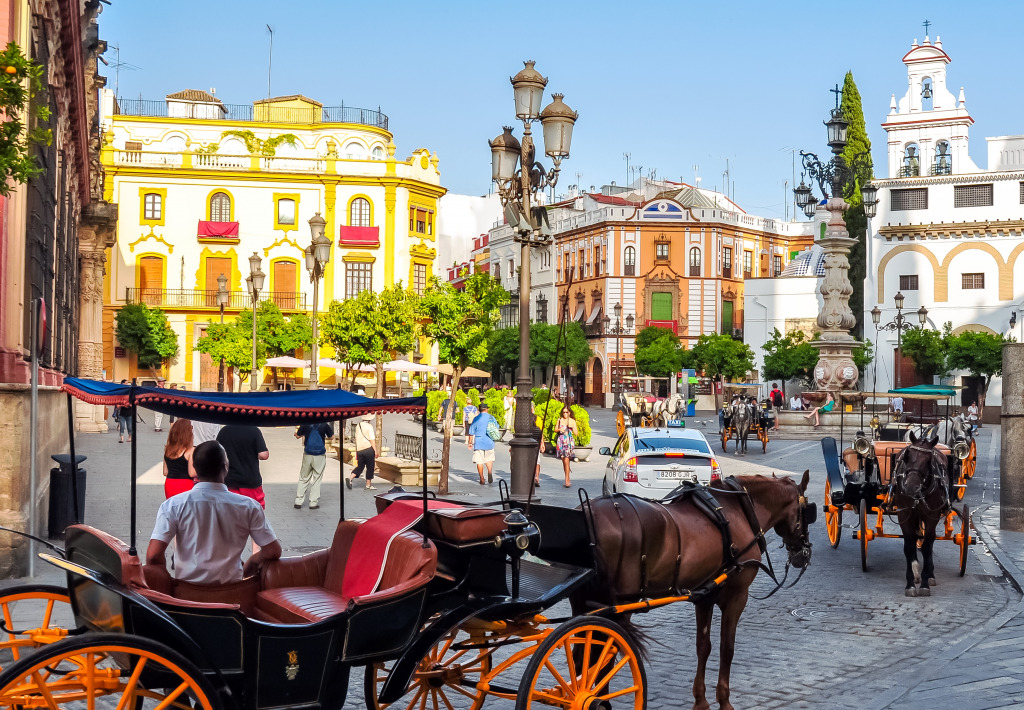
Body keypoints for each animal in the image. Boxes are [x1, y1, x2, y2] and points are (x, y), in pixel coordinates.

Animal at [577, 471, 815, 708]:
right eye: (808, 512)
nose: (803, 554)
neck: (738, 511)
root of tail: (588, 513)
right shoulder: (737, 597)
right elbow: (727, 648)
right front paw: (724, 700)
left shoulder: (705, 597)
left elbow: (704, 646)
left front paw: (701, 700)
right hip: (618, 610)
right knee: (602, 660)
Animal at [897, 428, 950, 594]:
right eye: (907, 456)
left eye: (928, 461)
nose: (910, 487)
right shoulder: (904, 514)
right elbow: (909, 546)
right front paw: (910, 583)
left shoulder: (932, 516)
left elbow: (927, 547)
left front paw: (926, 582)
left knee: (930, 541)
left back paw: (929, 574)